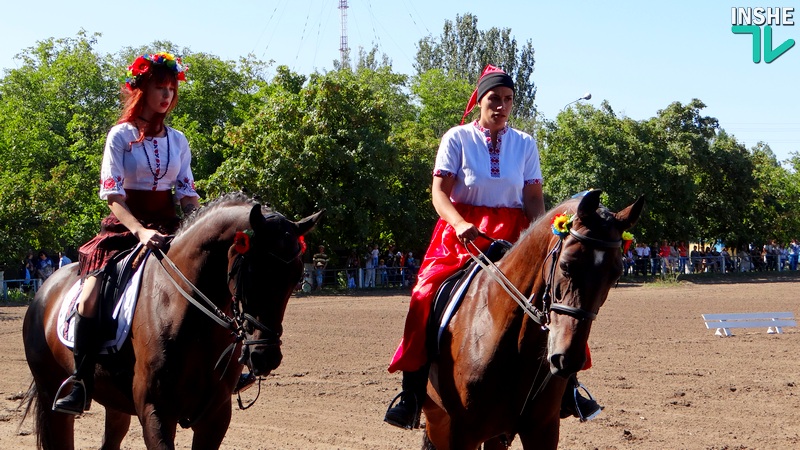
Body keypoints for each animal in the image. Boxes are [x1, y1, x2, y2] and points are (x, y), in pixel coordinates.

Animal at [21, 193, 322, 450]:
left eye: (296, 277)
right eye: (252, 271)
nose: (265, 356)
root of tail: (46, 288)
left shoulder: (215, 416)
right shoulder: (155, 411)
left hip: (115, 403)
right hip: (52, 393)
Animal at [424, 191, 644, 450]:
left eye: (616, 274)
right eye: (566, 265)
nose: (568, 359)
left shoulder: (543, 430)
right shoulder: (463, 433)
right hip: (439, 421)